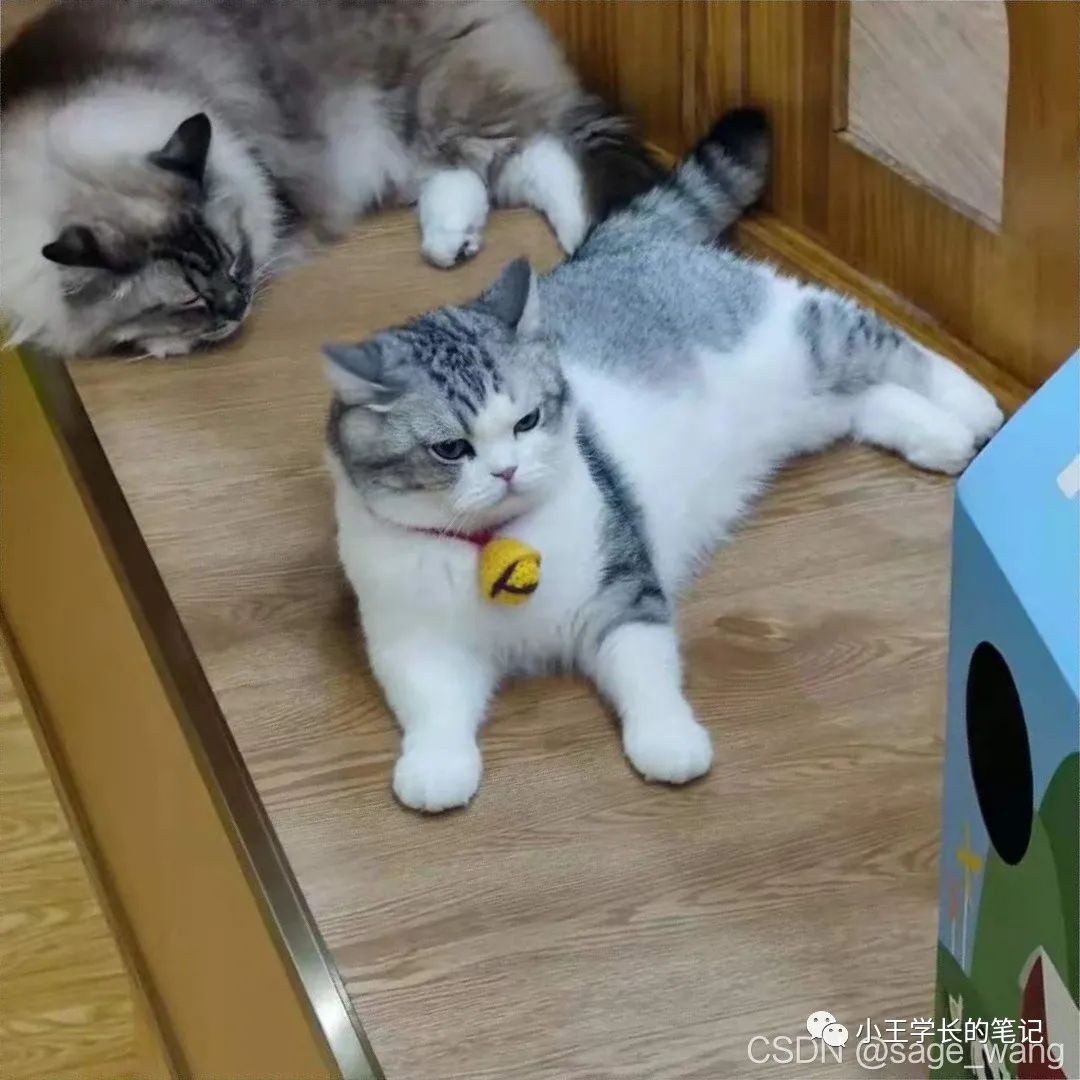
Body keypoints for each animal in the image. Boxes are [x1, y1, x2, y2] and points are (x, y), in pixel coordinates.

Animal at [0, 0, 662, 359]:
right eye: (188, 297)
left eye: (235, 262)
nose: (236, 307)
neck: (65, 160)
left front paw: (165, 342)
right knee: (476, 175)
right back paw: (453, 242)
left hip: (432, 103)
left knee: (541, 150)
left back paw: (588, 240)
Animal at [323, 108, 1004, 813]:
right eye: (451, 449)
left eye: (527, 421)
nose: (507, 470)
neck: (493, 546)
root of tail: (609, 246)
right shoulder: (413, 642)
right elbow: (432, 706)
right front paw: (436, 766)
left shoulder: (623, 589)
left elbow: (647, 673)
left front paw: (668, 742)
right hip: (803, 408)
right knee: (865, 399)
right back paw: (940, 436)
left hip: (806, 338)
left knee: (885, 340)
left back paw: (973, 405)